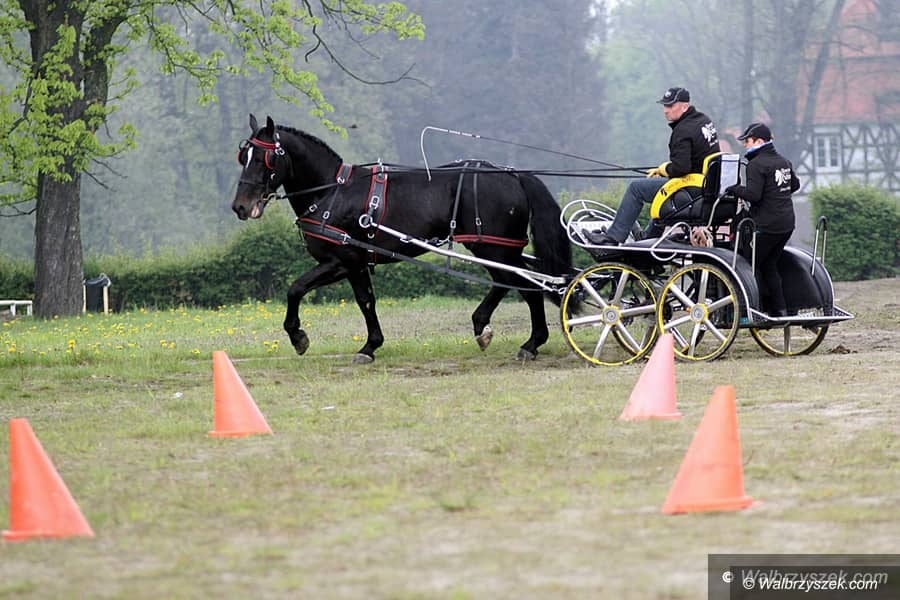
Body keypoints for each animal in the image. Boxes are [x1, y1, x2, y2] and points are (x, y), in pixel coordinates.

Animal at [231, 114, 572, 364]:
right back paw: (516, 335)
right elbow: (366, 301)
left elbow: (296, 289)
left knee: (519, 284)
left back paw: (518, 338)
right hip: (498, 247)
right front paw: (371, 346)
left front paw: (299, 337)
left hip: (491, 246)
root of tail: (512, 173)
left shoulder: (341, 260)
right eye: (242, 156)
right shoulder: (355, 263)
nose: (240, 207)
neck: (332, 191)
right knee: (522, 283)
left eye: (264, 158)